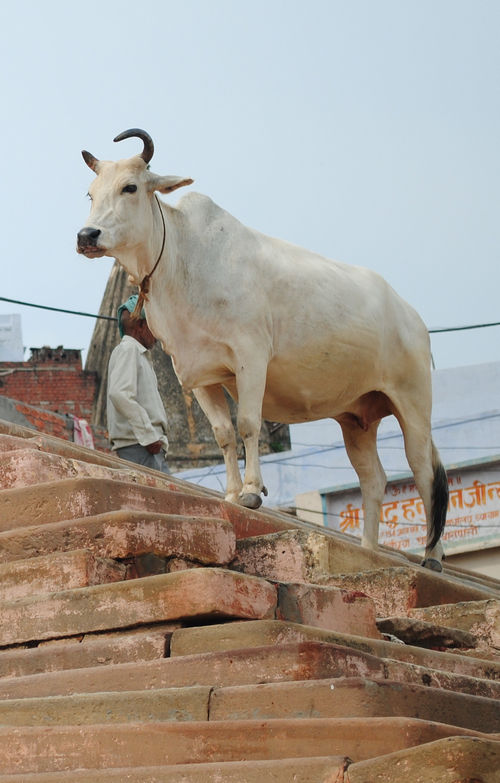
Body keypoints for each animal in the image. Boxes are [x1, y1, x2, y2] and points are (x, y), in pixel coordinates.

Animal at [79, 129, 450, 568]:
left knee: (424, 469)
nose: (86, 236)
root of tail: (413, 318)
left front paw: (253, 492)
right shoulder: (199, 376)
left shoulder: (250, 357)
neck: (183, 261)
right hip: (356, 419)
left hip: (413, 403)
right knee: (374, 480)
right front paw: (230, 493)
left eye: (130, 187)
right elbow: (224, 435)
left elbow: (248, 424)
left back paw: (432, 556)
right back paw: (368, 549)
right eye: (90, 193)